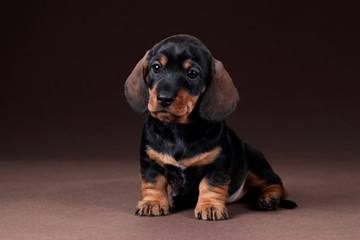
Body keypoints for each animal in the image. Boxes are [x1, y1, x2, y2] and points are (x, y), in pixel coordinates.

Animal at [124, 34, 296, 221]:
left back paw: (269, 198)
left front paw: (211, 206)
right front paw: (151, 203)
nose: (163, 98)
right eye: (156, 67)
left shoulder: (217, 165)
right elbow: (153, 184)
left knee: (275, 184)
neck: (178, 131)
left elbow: (210, 186)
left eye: (192, 73)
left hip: (257, 168)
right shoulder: (151, 162)